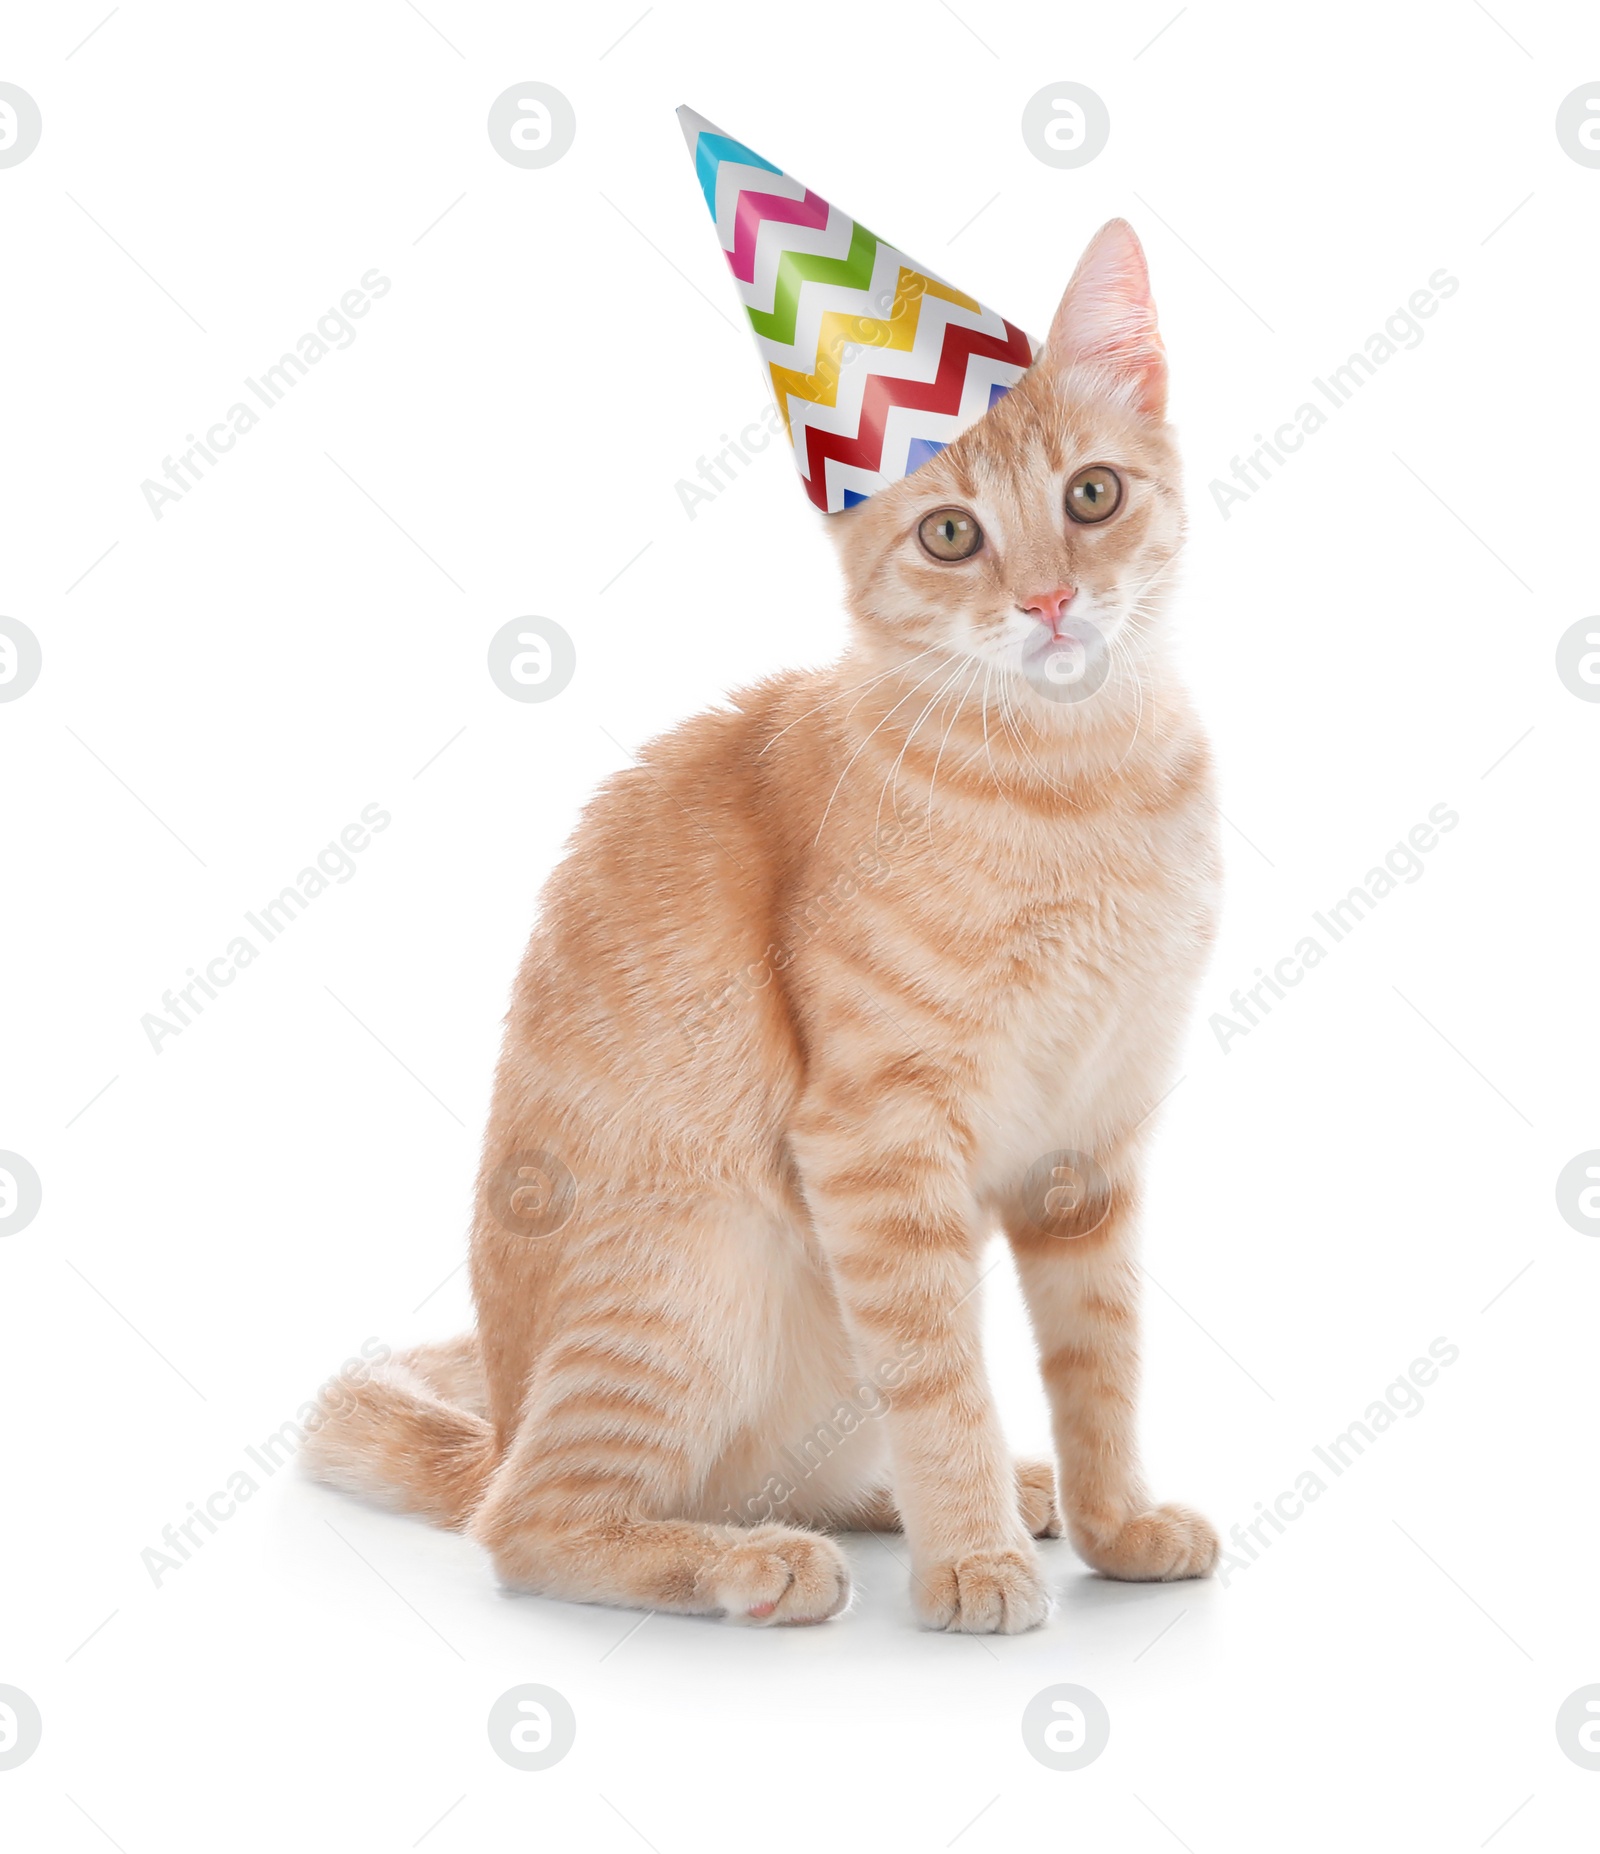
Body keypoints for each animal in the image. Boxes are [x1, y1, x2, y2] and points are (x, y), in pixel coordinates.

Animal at [305, 220, 1223, 1638]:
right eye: (951, 534)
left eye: (1090, 498)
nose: (1050, 603)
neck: (1074, 784)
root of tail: (497, 1426)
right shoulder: (876, 1144)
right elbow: (941, 1377)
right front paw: (972, 1565)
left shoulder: (1092, 1144)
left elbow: (1099, 1358)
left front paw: (1112, 1521)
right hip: (694, 1270)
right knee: (534, 1525)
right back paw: (757, 1561)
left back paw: (993, 1495)